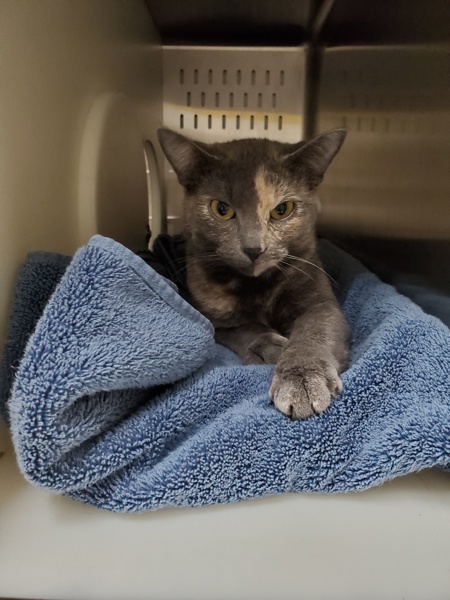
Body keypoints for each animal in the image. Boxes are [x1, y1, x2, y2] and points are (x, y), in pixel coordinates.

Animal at [157, 127, 349, 419]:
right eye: (221, 209)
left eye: (282, 210)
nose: (253, 248)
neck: (256, 285)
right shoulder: (211, 315)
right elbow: (244, 328)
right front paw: (273, 347)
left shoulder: (319, 298)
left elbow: (315, 330)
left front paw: (302, 381)